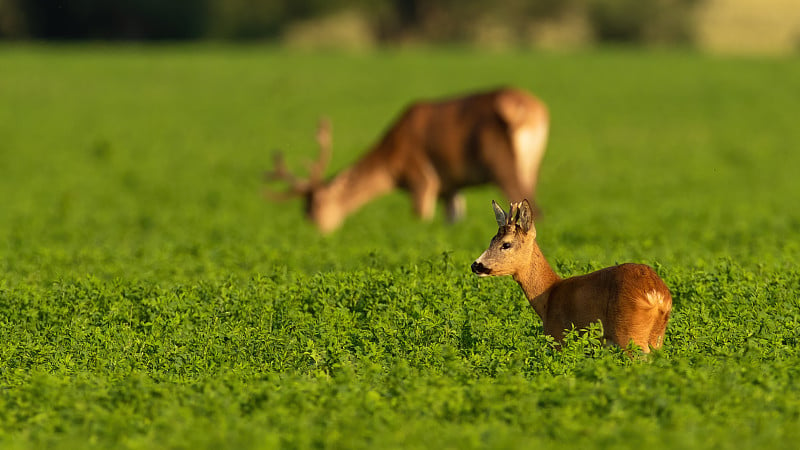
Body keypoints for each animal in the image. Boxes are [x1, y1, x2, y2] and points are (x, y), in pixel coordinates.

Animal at [266, 89, 548, 236]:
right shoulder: (450, 186)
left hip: (502, 164)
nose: (315, 232)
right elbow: (453, 219)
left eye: (313, 207)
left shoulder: (422, 179)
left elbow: (420, 218)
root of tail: (534, 110)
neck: (392, 165)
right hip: (532, 164)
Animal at [472, 200, 672, 352]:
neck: (548, 296)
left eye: (506, 244)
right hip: (657, 337)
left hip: (629, 333)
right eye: (492, 240)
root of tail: (657, 294)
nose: (476, 265)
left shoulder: (558, 336)